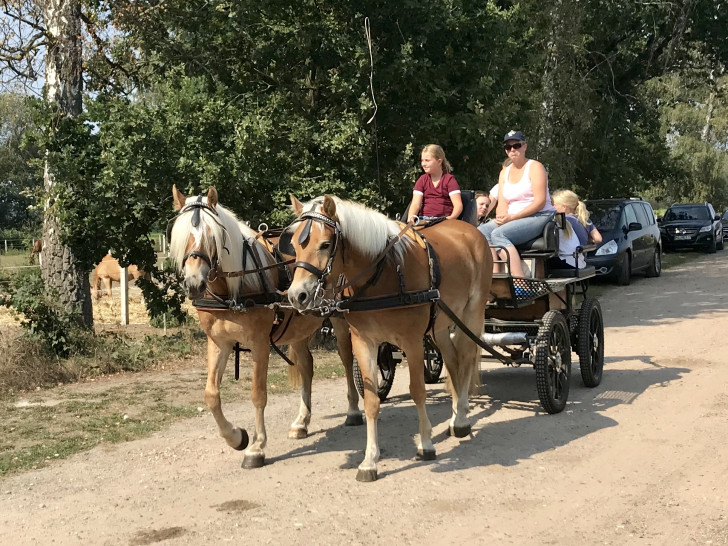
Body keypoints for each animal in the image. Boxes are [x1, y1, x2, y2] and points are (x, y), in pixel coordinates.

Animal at [168, 185, 362, 466]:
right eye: (180, 237)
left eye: (212, 236)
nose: (194, 283)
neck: (235, 287)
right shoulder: (218, 342)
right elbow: (211, 395)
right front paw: (237, 437)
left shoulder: (260, 343)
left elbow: (258, 394)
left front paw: (256, 447)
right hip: (299, 326)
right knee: (306, 366)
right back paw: (301, 422)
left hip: (339, 318)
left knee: (347, 359)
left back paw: (353, 411)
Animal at [288, 193, 494, 478]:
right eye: (294, 245)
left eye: (325, 244)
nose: (297, 296)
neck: (382, 274)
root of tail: (472, 232)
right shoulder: (364, 341)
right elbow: (372, 401)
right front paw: (369, 460)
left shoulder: (413, 342)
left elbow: (418, 391)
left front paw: (426, 444)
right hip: (440, 324)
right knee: (452, 362)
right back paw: (455, 417)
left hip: (470, 314)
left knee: (466, 357)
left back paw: (462, 419)